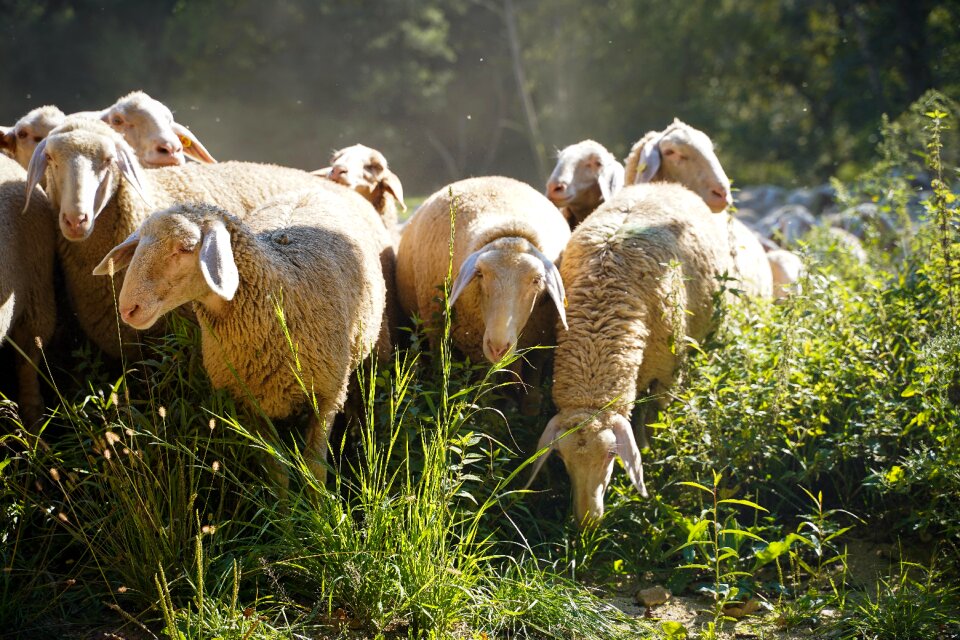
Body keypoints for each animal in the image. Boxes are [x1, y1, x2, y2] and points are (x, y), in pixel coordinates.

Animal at [93, 192, 386, 482]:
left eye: (186, 248)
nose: (128, 309)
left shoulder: (327, 396)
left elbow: (314, 469)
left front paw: (319, 495)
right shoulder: (250, 403)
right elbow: (276, 472)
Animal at [528, 182, 732, 524]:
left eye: (613, 454)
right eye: (561, 457)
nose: (587, 519)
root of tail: (666, 184)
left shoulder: (667, 375)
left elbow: (652, 420)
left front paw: (648, 449)